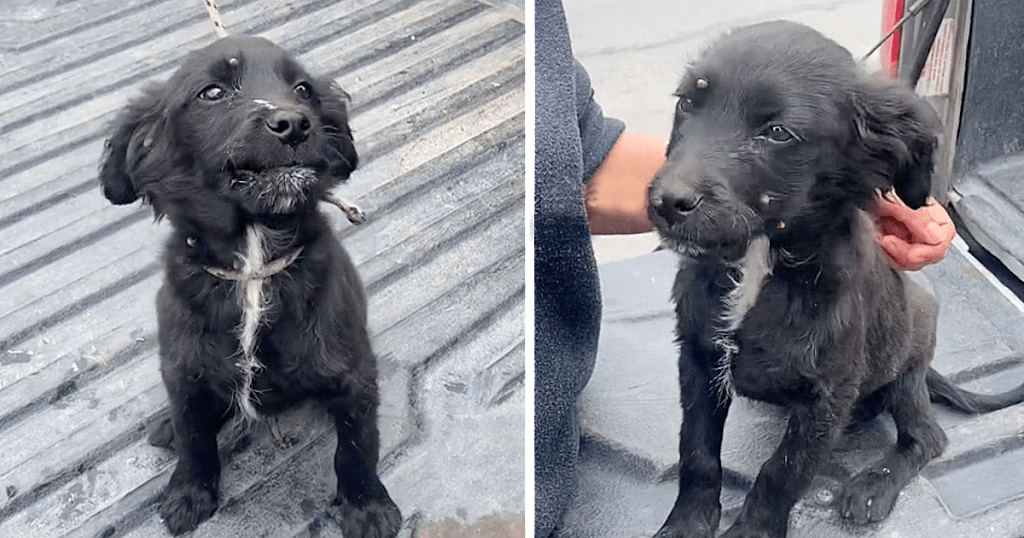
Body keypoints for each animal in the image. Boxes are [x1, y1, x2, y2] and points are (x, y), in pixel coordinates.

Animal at [96, 35, 399, 532]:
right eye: (213, 93)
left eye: (303, 89)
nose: (294, 124)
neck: (254, 267)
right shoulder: (182, 366)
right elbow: (194, 438)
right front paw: (189, 493)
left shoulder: (352, 372)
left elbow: (356, 446)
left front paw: (367, 507)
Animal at [647, 21, 1024, 536]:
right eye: (687, 102)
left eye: (778, 132)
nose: (667, 201)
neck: (759, 263)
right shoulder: (698, 357)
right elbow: (698, 451)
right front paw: (686, 523)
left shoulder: (826, 397)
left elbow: (781, 472)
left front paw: (751, 529)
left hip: (908, 367)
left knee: (928, 436)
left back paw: (871, 486)